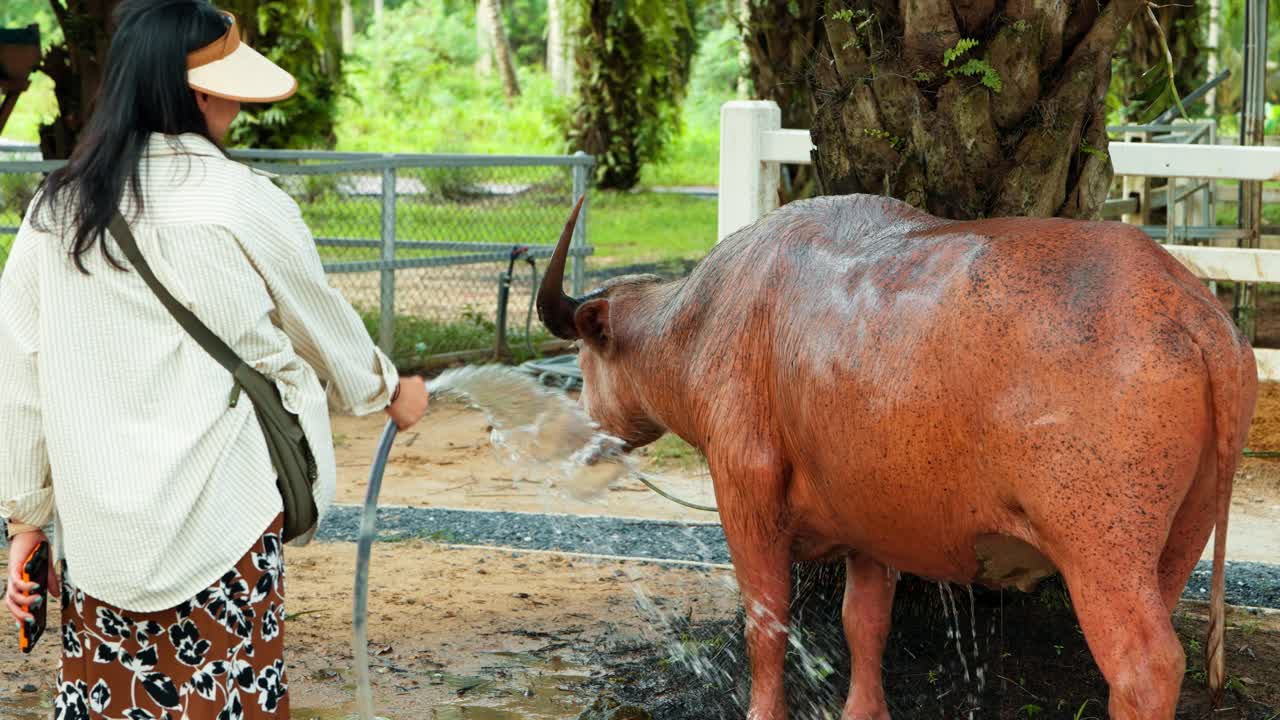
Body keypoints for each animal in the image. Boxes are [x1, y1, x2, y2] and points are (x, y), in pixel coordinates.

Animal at [538, 193, 1256, 720]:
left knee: (1146, 666)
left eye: (583, 358)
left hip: (1101, 549)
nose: (585, 427)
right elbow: (864, 624)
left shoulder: (745, 497)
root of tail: (1190, 310)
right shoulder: (871, 526)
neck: (709, 322)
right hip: (1178, 539)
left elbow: (766, 623)